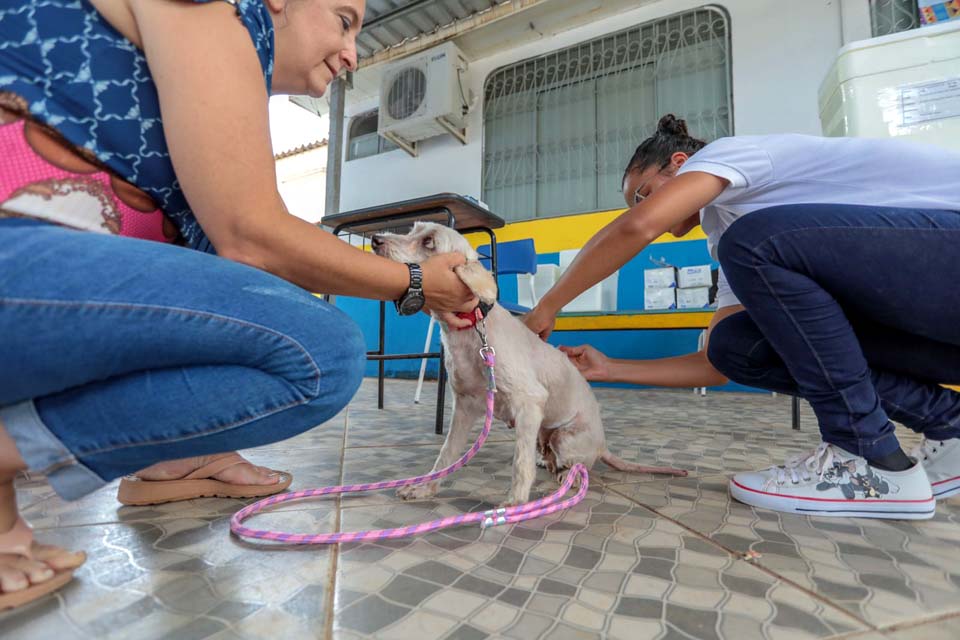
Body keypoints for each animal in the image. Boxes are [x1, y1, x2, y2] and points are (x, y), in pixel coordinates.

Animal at [372, 222, 688, 508]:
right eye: (411, 229)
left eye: (429, 242)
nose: (375, 240)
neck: (472, 331)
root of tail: (602, 445)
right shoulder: (464, 407)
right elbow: (445, 456)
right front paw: (423, 489)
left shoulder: (529, 402)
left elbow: (519, 461)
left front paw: (516, 501)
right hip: (543, 433)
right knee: (549, 455)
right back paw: (546, 462)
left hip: (563, 436)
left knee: (579, 467)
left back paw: (565, 478)